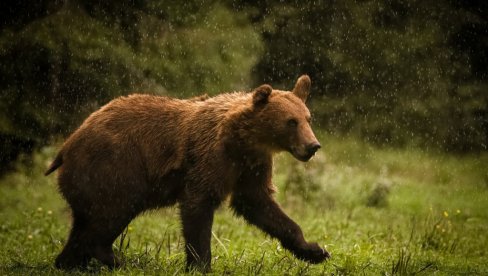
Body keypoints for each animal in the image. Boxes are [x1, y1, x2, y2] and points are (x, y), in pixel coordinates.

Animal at [45, 75, 330, 272]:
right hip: (113, 169)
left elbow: (259, 204)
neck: (243, 141)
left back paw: (69, 262)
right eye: (291, 122)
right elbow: (198, 208)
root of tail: (67, 145)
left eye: (308, 118)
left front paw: (315, 251)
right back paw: (117, 259)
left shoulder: (252, 166)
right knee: (111, 214)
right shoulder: (209, 159)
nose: (313, 146)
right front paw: (201, 265)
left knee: (83, 224)